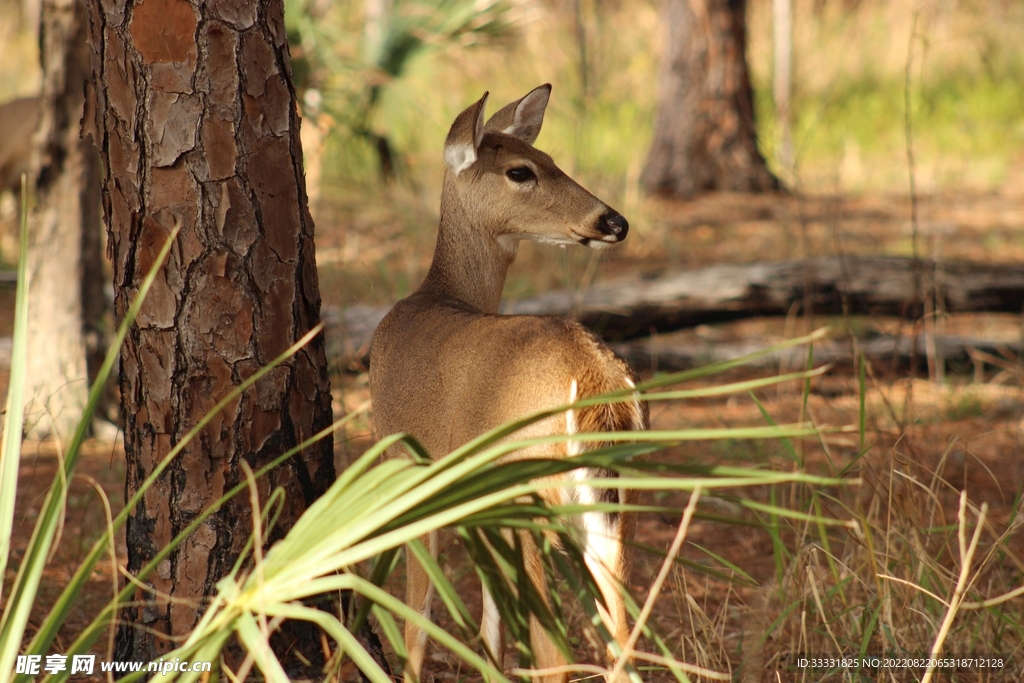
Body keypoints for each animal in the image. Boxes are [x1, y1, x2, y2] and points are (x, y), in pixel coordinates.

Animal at [368, 84, 648, 683]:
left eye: (546, 159)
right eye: (523, 169)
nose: (614, 222)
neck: (439, 296)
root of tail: (594, 379)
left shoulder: (409, 467)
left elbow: (418, 621)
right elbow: (491, 625)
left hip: (530, 493)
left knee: (554, 652)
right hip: (614, 503)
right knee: (622, 639)